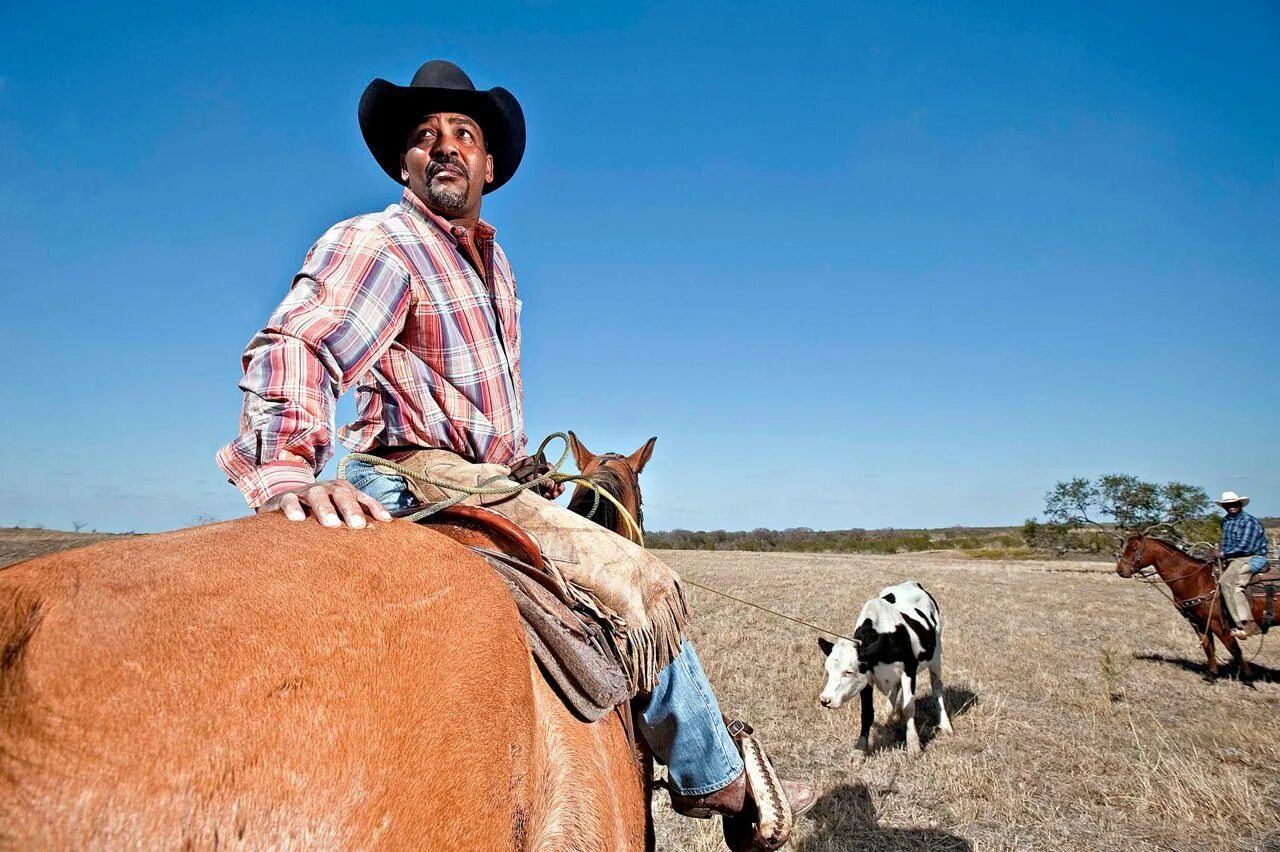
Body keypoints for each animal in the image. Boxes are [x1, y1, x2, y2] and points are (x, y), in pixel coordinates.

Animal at [819, 578, 952, 757]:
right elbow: (867, 713)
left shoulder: (909, 670)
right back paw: (887, 712)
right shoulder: (867, 678)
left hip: (936, 655)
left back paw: (945, 725)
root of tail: (912, 583)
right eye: (828, 671)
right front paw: (860, 749)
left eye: (848, 672)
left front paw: (913, 745)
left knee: (937, 687)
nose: (825, 700)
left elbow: (908, 707)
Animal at [1116, 532, 1264, 675]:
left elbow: (1233, 648)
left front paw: (1248, 676)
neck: (1195, 579)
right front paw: (1213, 674)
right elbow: (1208, 646)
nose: (1120, 570)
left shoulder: (1217, 623)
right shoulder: (1198, 622)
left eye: (1134, 547)